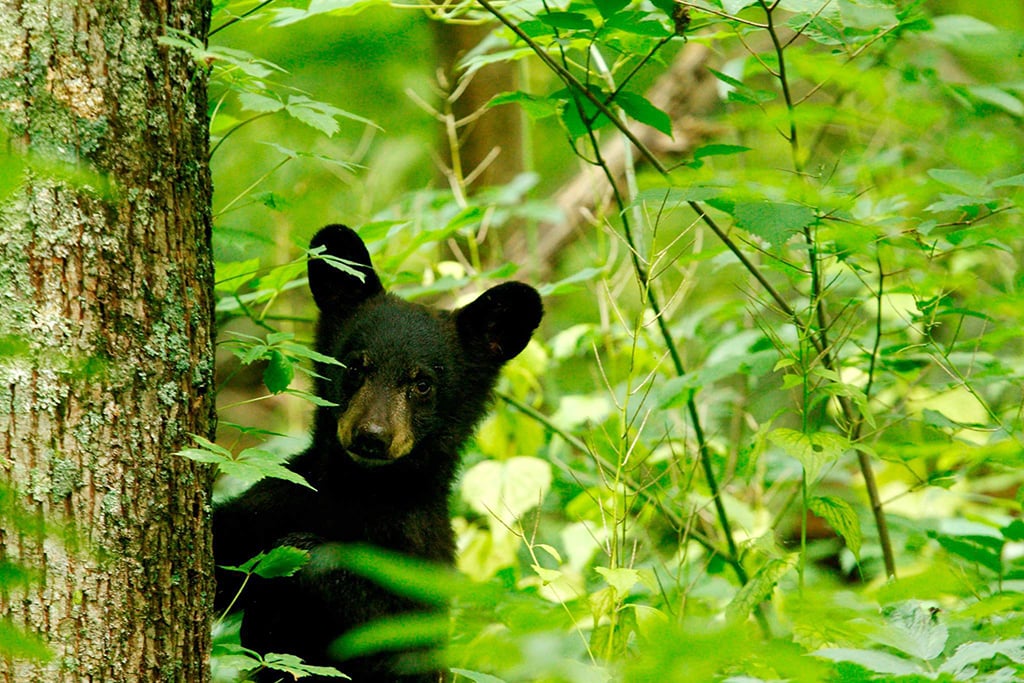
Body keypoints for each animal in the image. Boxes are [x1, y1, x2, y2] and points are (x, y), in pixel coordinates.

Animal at [212, 224, 543, 682]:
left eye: (421, 383)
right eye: (355, 367)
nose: (372, 435)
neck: (362, 491)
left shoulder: (420, 556)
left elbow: (395, 638)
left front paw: (304, 551)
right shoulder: (274, 503)